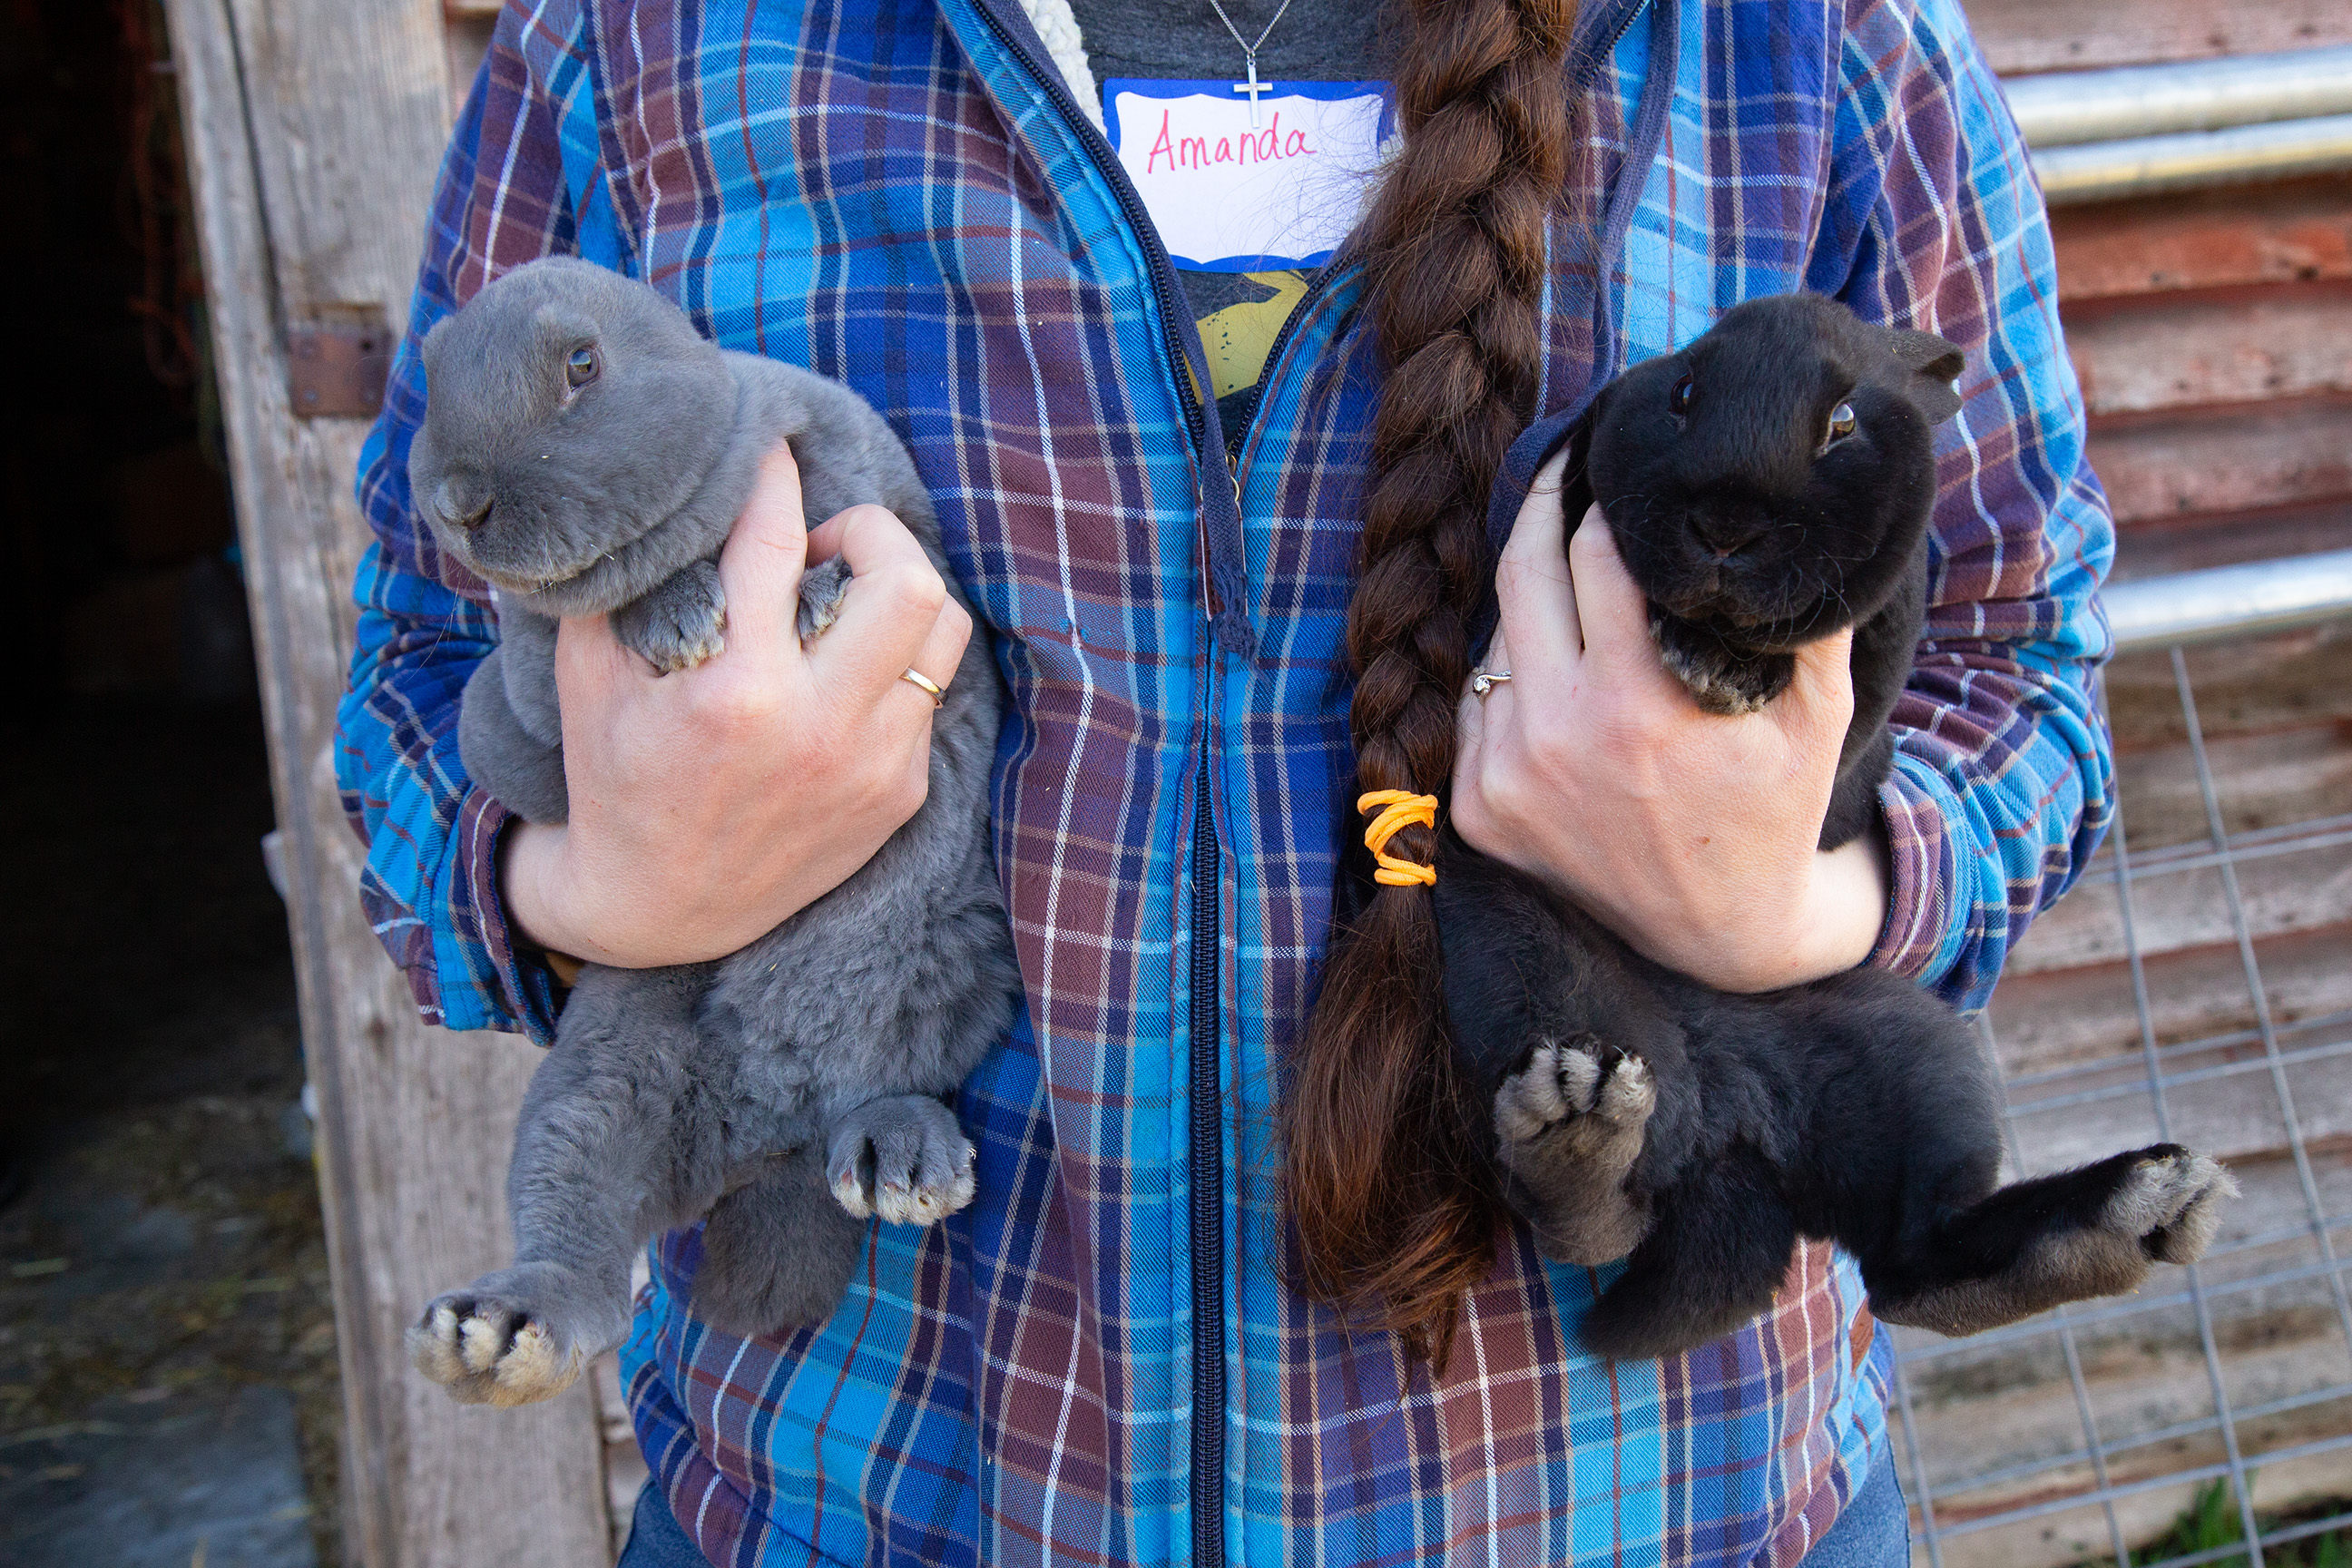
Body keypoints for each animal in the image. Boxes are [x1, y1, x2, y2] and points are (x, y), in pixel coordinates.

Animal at [398, 257, 1022, 1407]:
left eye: (582, 365)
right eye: (430, 379)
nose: (461, 504)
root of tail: (765, 1133)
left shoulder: (865, 482)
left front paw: (813, 594)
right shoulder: (528, 685)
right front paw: (680, 617)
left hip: (942, 984)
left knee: (879, 1086)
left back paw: (900, 1159)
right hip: (597, 1082)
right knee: (581, 1237)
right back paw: (494, 1335)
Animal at [1432, 293, 2234, 1361]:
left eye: (1844, 424)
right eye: (1682, 389)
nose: (1725, 529)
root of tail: (1741, 1127)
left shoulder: (1872, 668)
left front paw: (1719, 667)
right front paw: (1710, 660)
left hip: (1916, 1063)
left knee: (1913, 1263)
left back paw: (2127, 1215)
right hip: (1527, 964)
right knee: (1602, 1206)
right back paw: (1580, 1131)